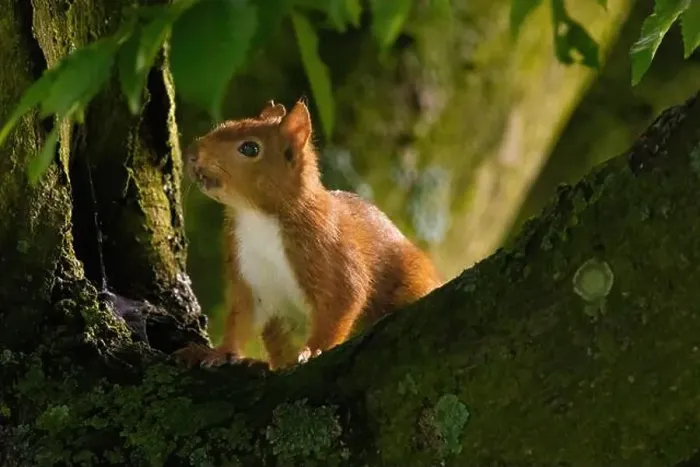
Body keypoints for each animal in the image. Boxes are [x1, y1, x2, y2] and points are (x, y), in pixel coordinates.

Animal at [174, 99, 442, 370]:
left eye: (250, 148)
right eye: (225, 124)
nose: (191, 154)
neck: (257, 217)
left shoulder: (332, 252)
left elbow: (342, 301)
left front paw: (313, 350)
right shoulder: (248, 275)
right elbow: (242, 319)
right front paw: (218, 352)